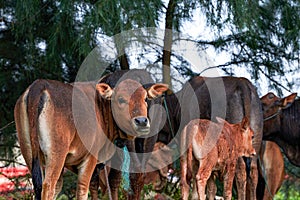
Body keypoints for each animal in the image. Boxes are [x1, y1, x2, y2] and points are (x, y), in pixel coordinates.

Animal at [14, 72, 169, 199]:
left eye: (145, 99)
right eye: (120, 99)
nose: (142, 121)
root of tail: (39, 85)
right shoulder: (90, 159)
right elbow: (84, 189)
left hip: (30, 152)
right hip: (56, 155)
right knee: (48, 186)